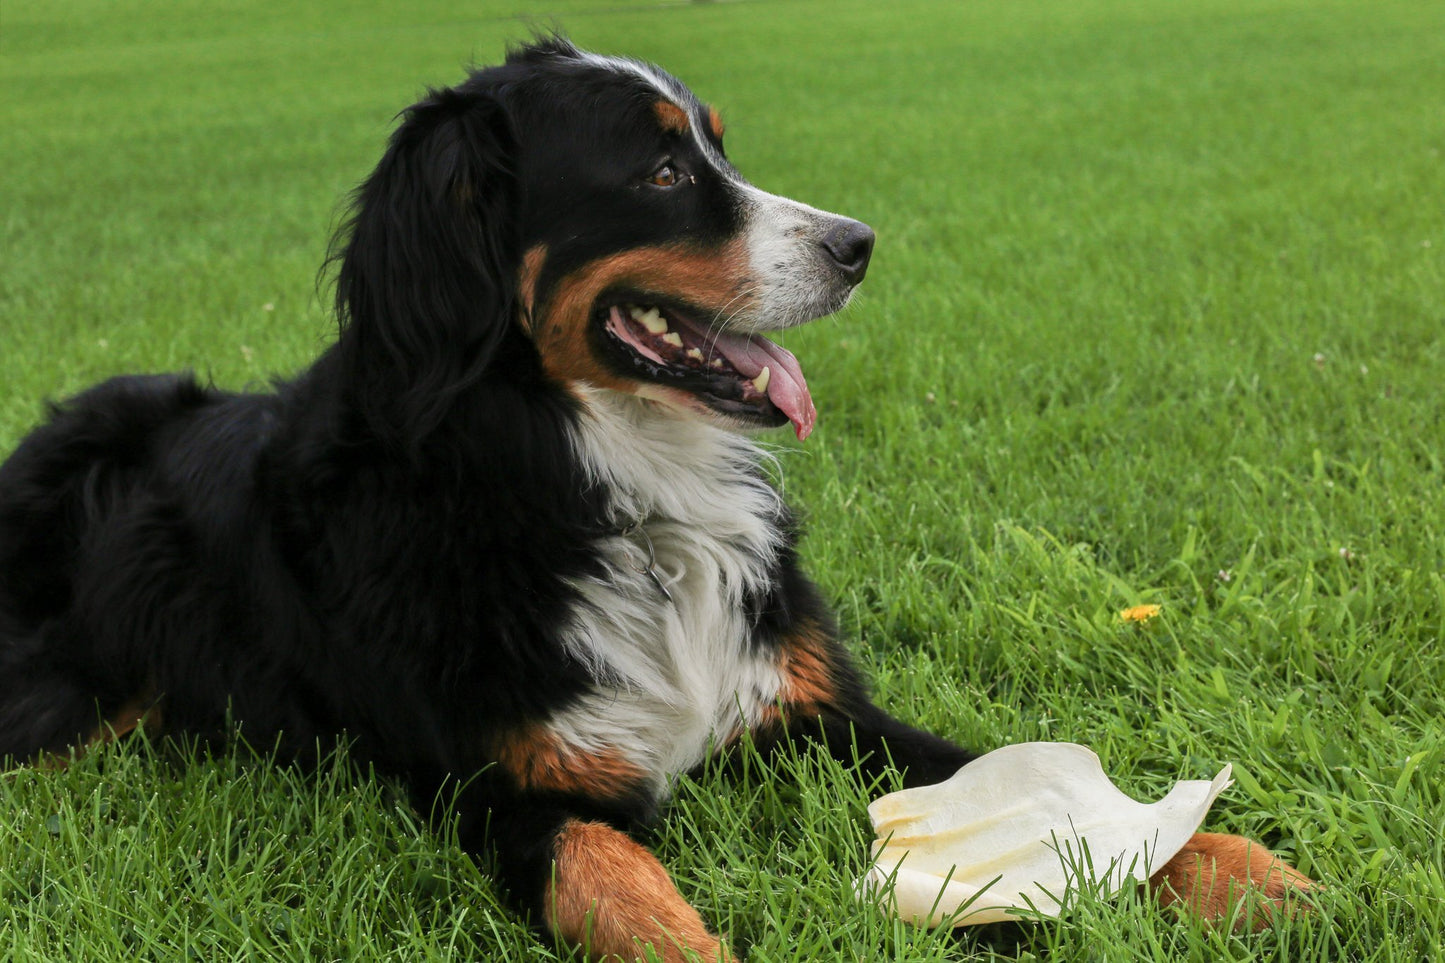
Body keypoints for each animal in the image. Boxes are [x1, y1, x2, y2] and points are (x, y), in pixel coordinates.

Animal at [0, 35, 1312, 960]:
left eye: (718, 148)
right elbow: (615, 883)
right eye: (664, 169)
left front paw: (1244, 875)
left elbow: (1033, 791)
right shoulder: (504, 791)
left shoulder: (809, 711)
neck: (614, 498)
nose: (859, 243)